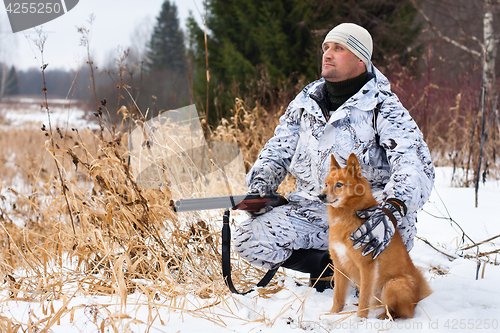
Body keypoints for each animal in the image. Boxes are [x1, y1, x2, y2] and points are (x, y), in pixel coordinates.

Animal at [318, 153, 432, 320]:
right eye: (326, 184)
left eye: (339, 184)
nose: (320, 196)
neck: (346, 215)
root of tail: (417, 295)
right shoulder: (339, 265)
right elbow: (338, 296)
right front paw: (332, 314)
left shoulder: (367, 266)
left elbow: (364, 298)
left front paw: (360, 320)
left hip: (392, 285)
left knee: (400, 312)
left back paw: (384, 317)